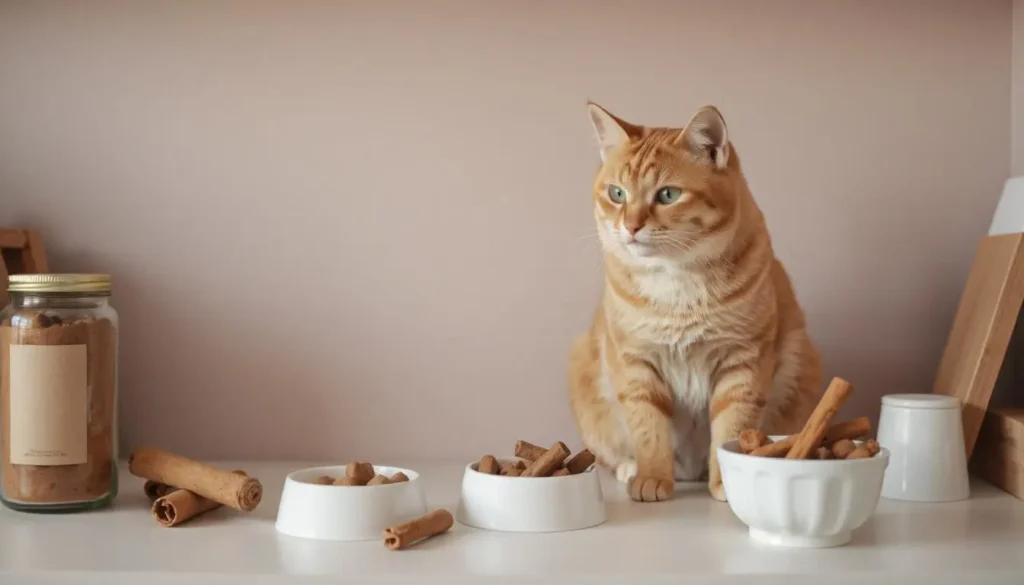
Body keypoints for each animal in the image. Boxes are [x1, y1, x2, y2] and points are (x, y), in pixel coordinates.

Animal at [569, 102, 823, 502]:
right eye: (617, 193)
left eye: (667, 195)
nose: (630, 227)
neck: (676, 281)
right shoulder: (637, 362)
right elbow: (648, 429)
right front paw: (651, 479)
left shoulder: (742, 362)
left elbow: (731, 429)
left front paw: (727, 485)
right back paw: (630, 468)